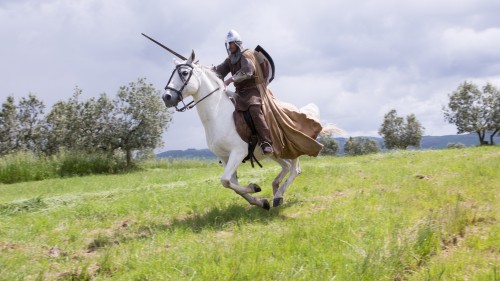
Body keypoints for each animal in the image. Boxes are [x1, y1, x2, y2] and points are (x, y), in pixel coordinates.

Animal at [163, 49, 324, 209]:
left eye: (184, 73)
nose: (166, 97)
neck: (218, 114)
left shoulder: (238, 152)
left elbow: (225, 181)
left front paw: (255, 188)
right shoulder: (225, 157)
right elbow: (231, 183)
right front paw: (260, 201)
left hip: (292, 149)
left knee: (294, 169)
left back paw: (278, 195)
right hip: (275, 152)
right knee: (286, 167)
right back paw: (275, 188)